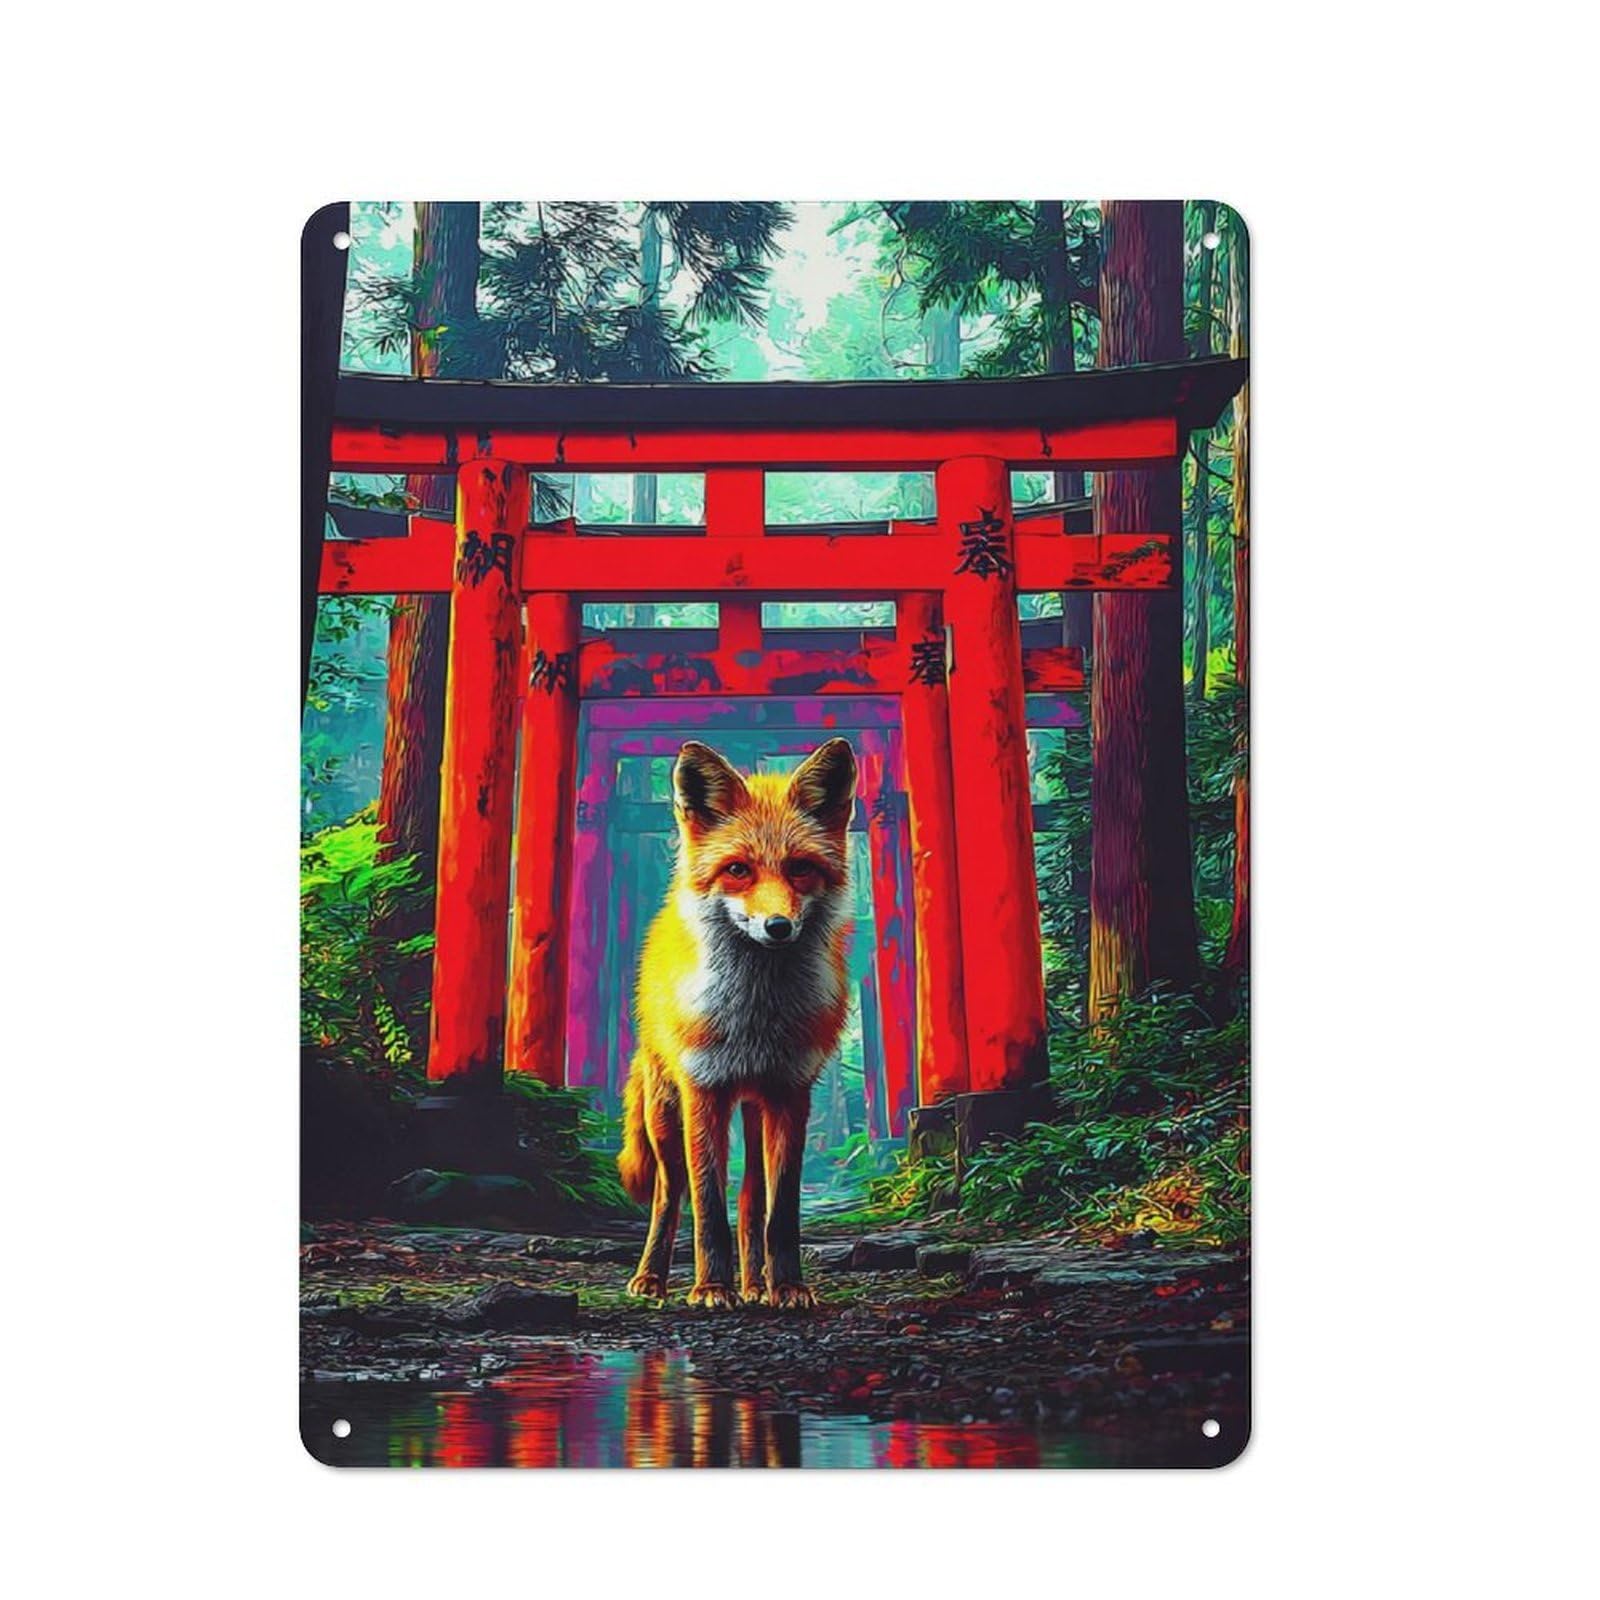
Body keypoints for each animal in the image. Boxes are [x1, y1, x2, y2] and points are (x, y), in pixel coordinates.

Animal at [617, 736, 857, 1310]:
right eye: (738, 870)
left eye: (800, 868)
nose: (778, 926)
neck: (756, 1018)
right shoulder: (704, 1089)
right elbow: (707, 1204)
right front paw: (710, 1288)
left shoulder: (791, 1092)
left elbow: (780, 1210)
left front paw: (786, 1286)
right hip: (666, 1111)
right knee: (670, 1192)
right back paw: (652, 1279)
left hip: (753, 1109)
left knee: (751, 1196)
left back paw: (754, 1286)